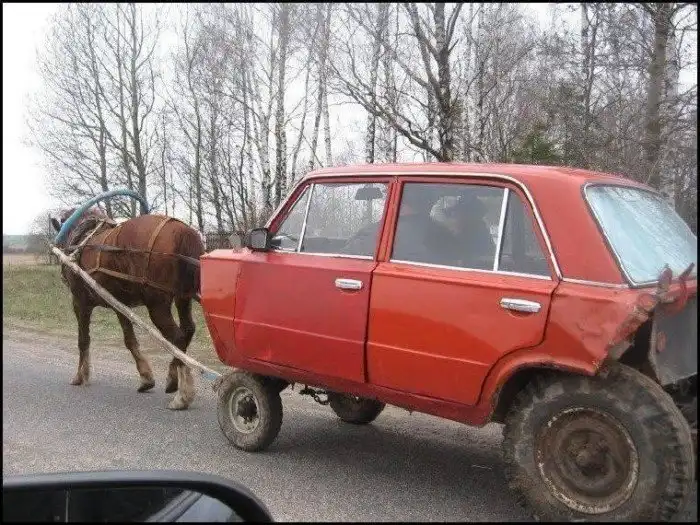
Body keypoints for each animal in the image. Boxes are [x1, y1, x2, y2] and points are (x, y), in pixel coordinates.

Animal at [50, 207, 205, 410]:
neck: (82, 239)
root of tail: (182, 231)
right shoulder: (120, 304)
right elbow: (130, 340)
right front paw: (146, 378)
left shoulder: (80, 302)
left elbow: (83, 340)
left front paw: (79, 376)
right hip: (183, 297)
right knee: (187, 330)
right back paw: (172, 378)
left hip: (157, 305)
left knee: (177, 338)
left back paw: (182, 396)